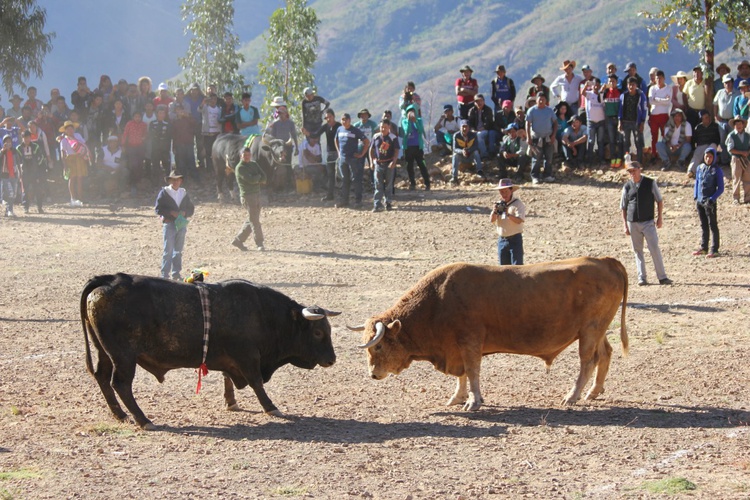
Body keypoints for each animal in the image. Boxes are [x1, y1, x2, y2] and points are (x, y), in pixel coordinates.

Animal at [82, 274, 340, 430]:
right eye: (318, 332)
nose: (332, 359)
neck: (262, 312)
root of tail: (110, 280)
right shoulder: (248, 357)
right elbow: (256, 382)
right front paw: (271, 407)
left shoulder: (231, 358)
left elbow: (227, 377)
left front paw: (231, 402)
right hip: (123, 357)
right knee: (121, 384)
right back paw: (143, 419)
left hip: (104, 352)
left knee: (102, 378)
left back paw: (120, 415)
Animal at [352, 258, 628, 410]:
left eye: (378, 346)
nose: (373, 374)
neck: (438, 299)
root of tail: (606, 261)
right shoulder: (457, 347)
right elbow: (463, 374)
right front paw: (458, 397)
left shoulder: (469, 341)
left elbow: (472, 370)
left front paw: (472, 401)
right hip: (598, 330)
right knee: (605, 354)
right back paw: (594, 391)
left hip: (590, 331)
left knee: (587, 361)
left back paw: (572, 396)